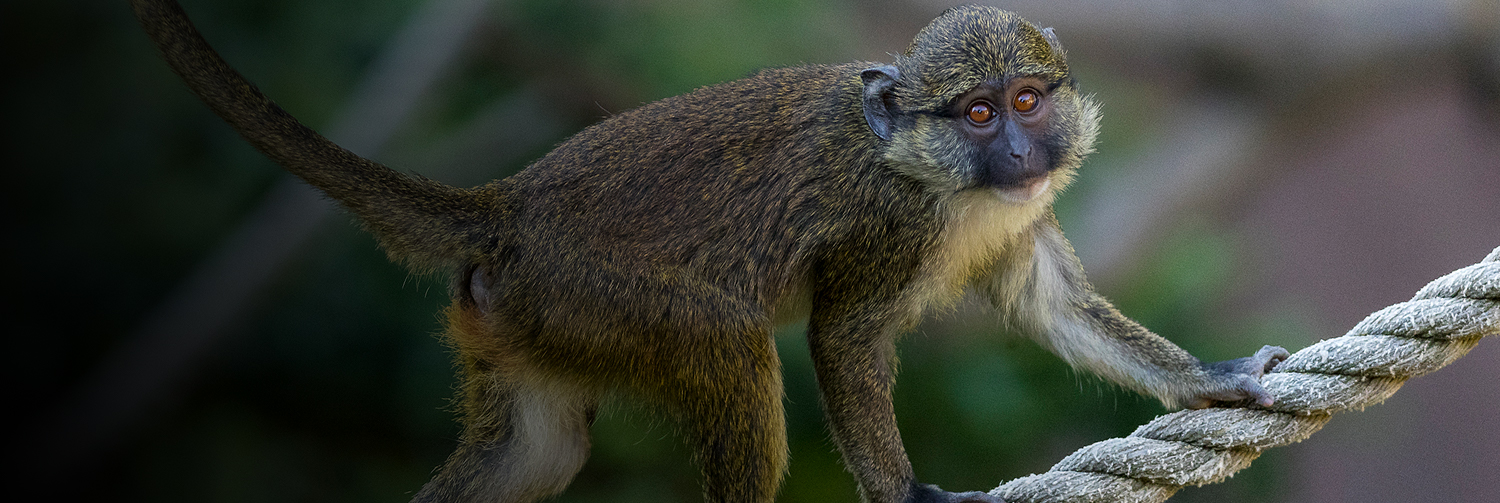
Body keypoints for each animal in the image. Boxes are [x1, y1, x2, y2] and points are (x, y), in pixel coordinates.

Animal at [132, 0, 1290, 503]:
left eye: (1029, 99)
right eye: (973, 112)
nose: (1016, 147)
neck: (943, 178)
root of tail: (509, 209)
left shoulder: (1018, 217)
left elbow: (1052, 308)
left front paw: (1214, 377)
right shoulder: (883, 227)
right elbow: (843, 338)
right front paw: (903, 496)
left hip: (526, 320)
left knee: (535, 454)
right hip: (600, 295)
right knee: (728, 347)